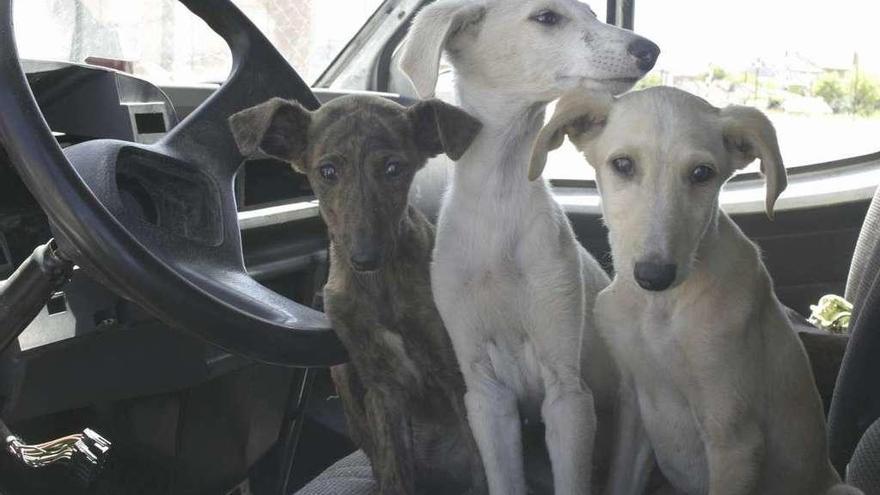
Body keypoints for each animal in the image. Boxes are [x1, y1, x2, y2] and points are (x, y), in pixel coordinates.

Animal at [230, 95, 484, 494]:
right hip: (342, 372)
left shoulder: (455, 374)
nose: (365, 259)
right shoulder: (381, 384)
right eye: (328, 171)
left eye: (394, 168)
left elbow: (487, 468)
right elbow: (394, 472)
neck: (379, 287)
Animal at [396, 1, 656, 494]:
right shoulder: (484, 393)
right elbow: (503, 477)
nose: (649, 48)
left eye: (593, 13)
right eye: (547, 17)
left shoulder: (567, 392)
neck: (499, 202)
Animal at [528, 87, 860, 494]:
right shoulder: (635, 411)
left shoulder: (735, 440)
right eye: (622, 164)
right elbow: (620, 478)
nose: (654, 275)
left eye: (702, 173)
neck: (659, 311)